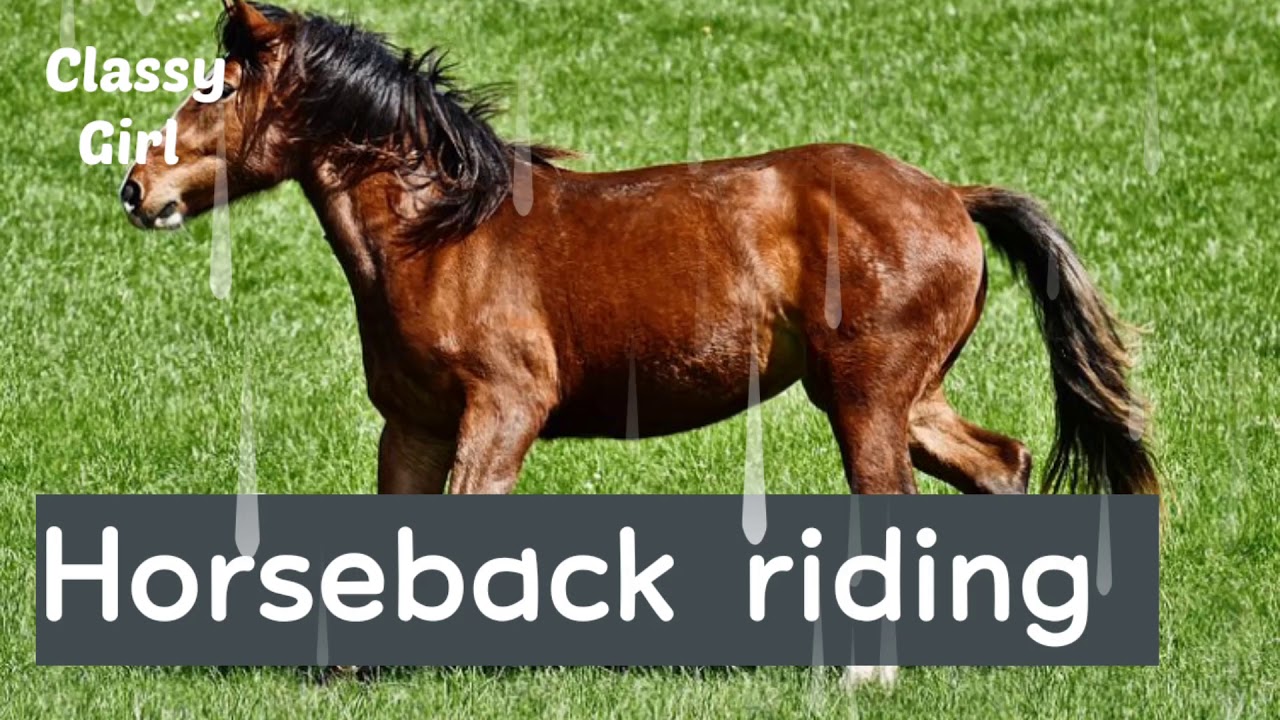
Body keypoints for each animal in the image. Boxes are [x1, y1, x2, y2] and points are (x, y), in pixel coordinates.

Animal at [120, 0, 1158, 502]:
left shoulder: (505, 410)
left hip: (867, 399)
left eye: (217, 88)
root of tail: (949, 195)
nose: (137, 187)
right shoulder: (412, 426)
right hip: (907, 397)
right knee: (1002, 462)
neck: (440, 238)